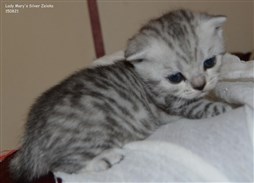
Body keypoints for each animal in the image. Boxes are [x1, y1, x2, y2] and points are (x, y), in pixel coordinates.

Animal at [8, 9, 231, 182]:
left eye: (209, 62)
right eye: (175, 77)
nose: (200, 85)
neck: (142, 78)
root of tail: (31, 140)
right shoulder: (174, 104)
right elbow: (204, 106)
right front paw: (228, 107)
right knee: (62, 165)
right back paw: (104, 159)